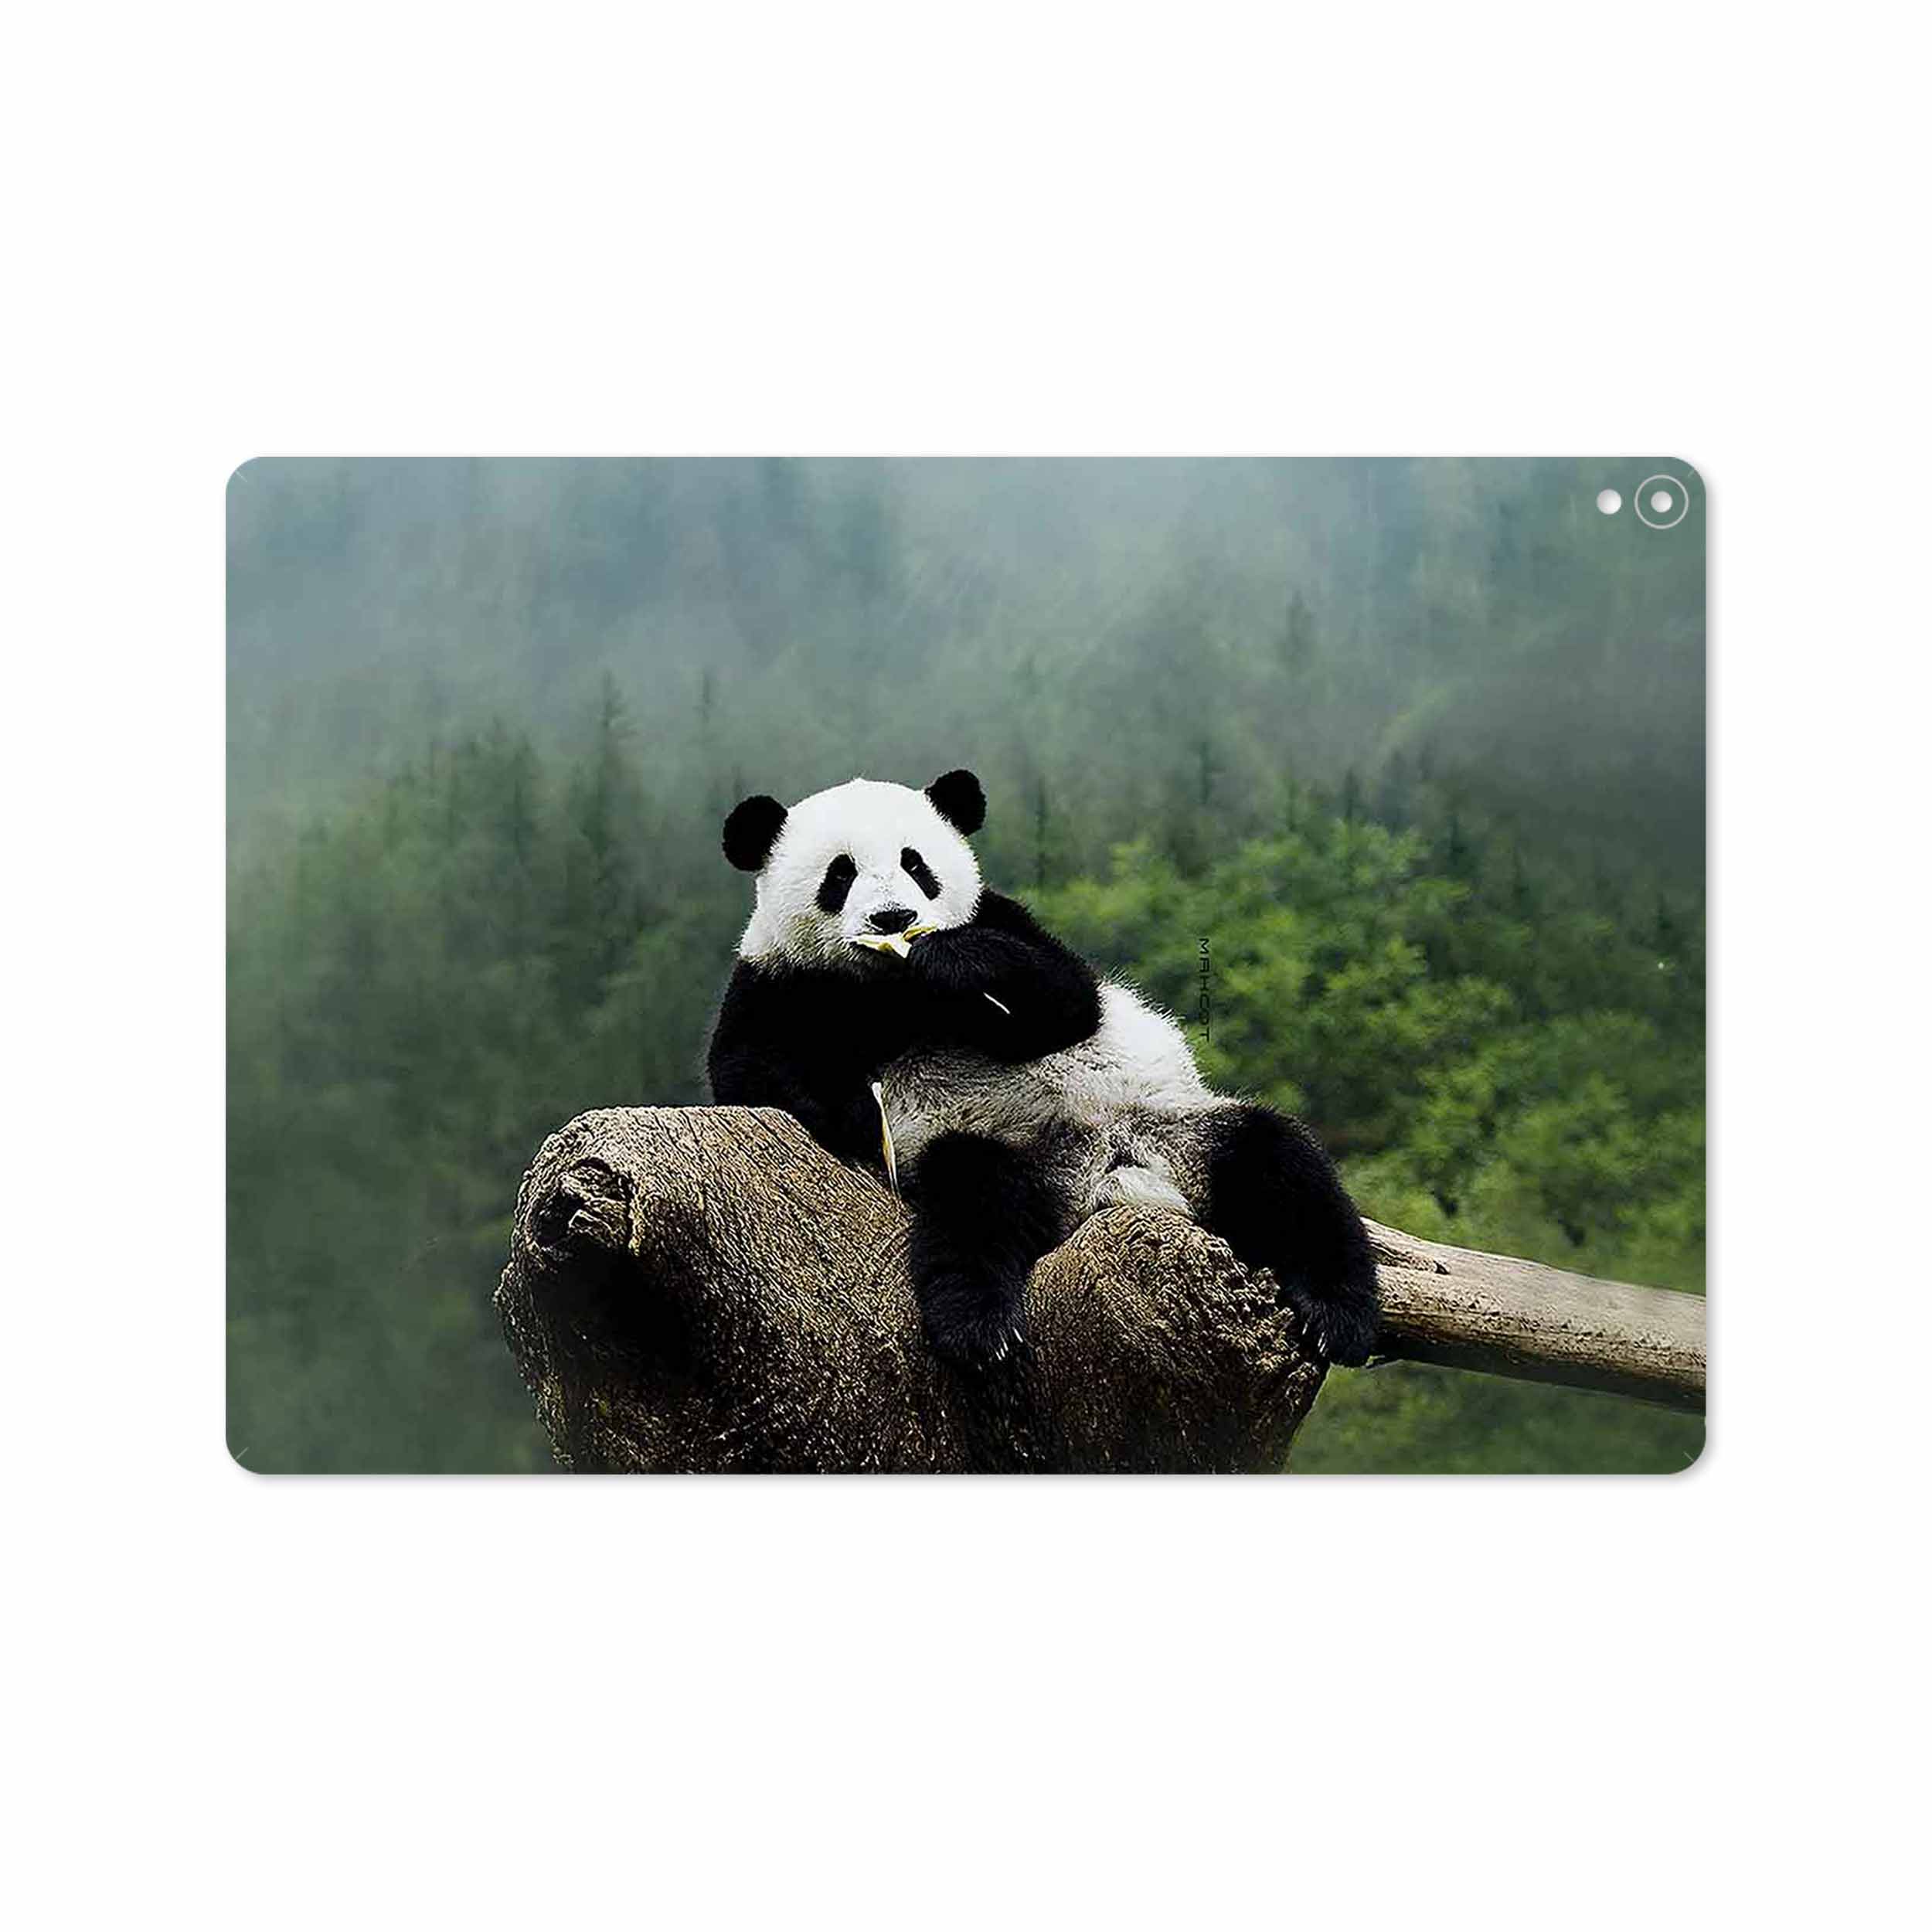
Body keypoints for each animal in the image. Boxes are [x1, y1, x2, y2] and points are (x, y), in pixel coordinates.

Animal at [707, 768, 1380, 1370]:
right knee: (973, 1203)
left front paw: (952, 961)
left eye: (916, 865)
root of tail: (1107, 1178)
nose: (894, 919)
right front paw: (854, 1112)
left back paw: (1338, 1316)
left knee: (1282, 1166)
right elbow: (749, 1072)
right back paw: (979, 1328)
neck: (890, 989)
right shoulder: (778, 982)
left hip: (1178, 1127)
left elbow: (1068, 1000)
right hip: (999, 1150)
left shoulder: (1002, 919)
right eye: (840, 874)